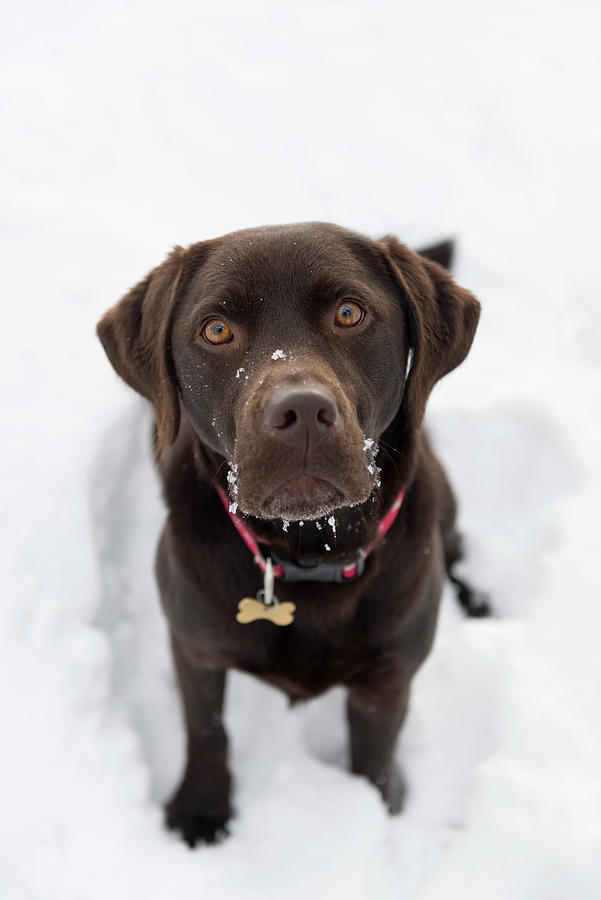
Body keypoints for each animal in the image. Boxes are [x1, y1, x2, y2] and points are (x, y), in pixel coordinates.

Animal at [95, 221, 488, 848]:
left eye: (349, 313)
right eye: (217, 329)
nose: (301, 411)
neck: (308, 550)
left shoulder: (387, 679)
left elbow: (374, 759)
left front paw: (379, 814)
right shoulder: (194, 646)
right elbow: (207, 729)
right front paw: (200, 810)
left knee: (457, 545)